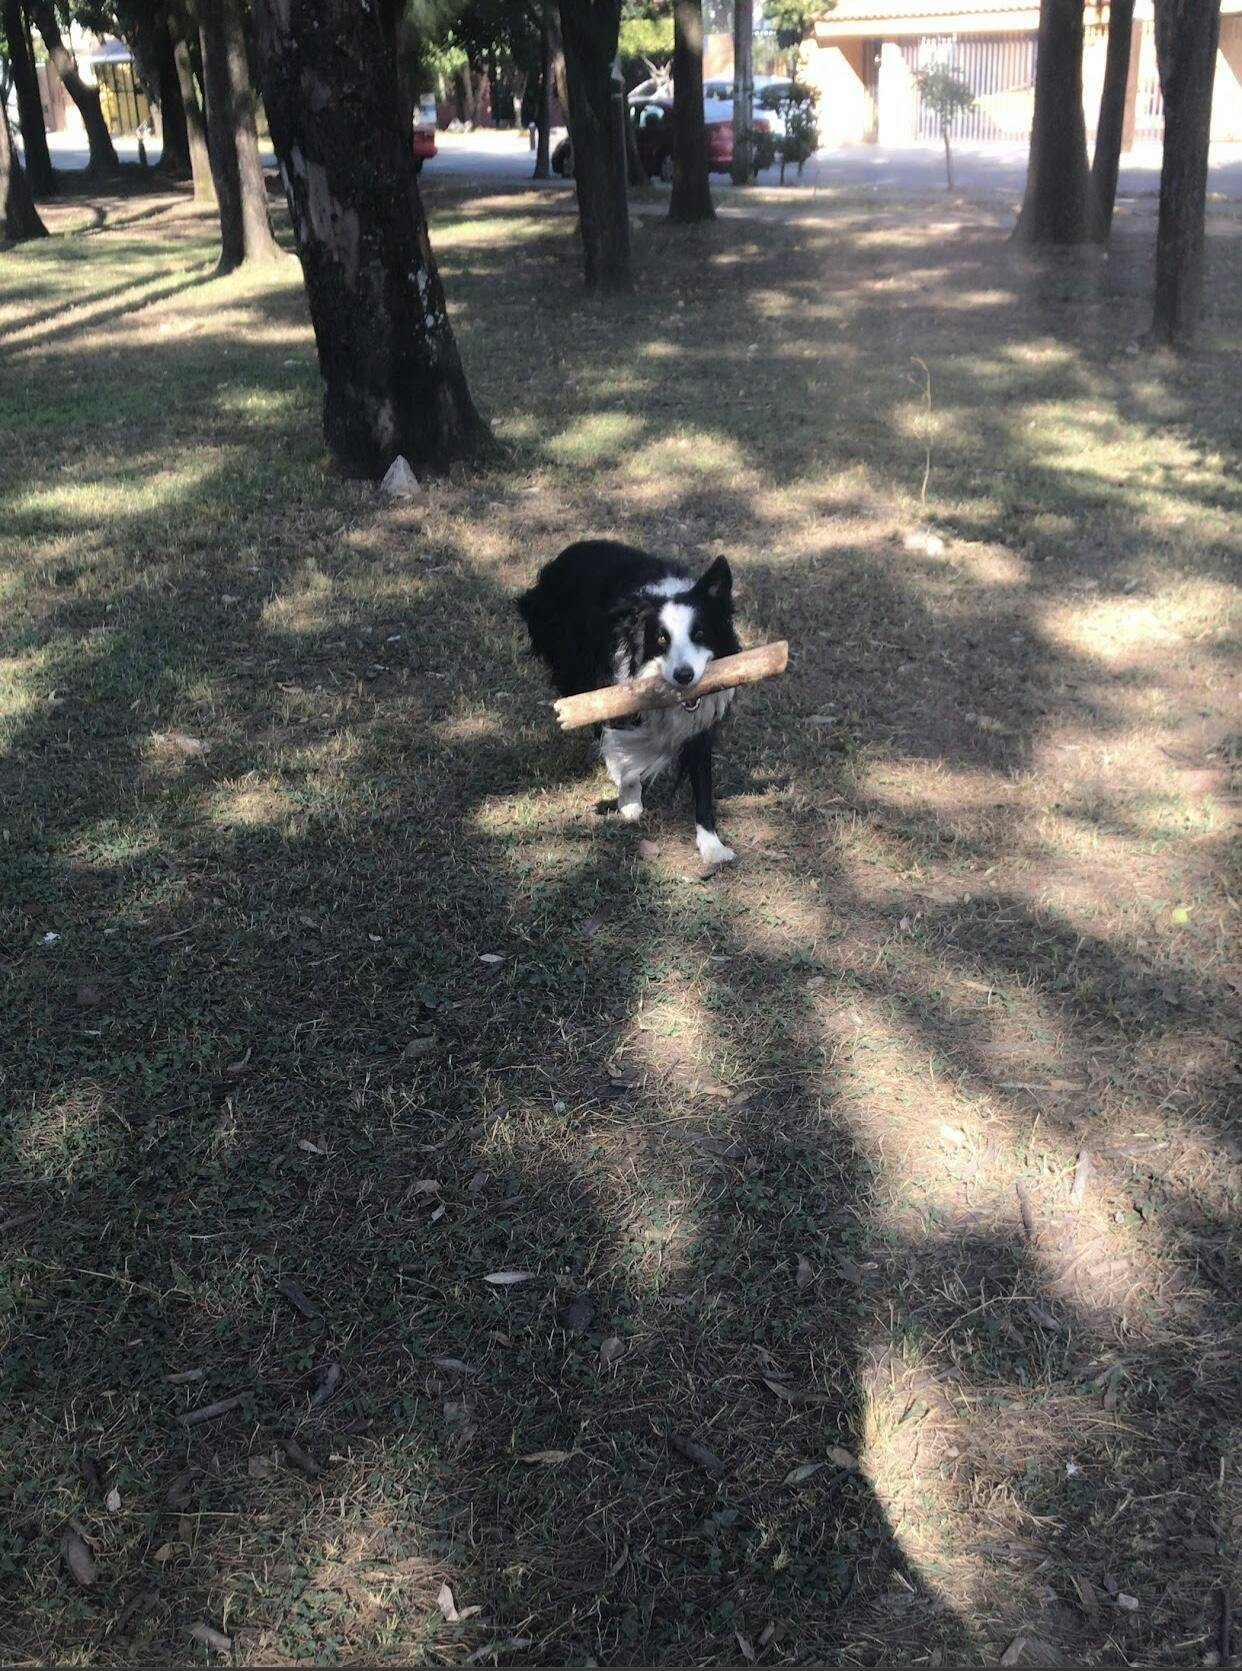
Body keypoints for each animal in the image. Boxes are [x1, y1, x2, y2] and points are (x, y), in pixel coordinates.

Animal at [517, 540, 741, 864]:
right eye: (661, 639)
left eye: (700, 633)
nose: (684, 676)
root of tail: (566, 553)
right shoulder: (617, 687)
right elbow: (623, 751)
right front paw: (629, 801)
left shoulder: (700, 720)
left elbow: (702, 782)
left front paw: (712, 846)